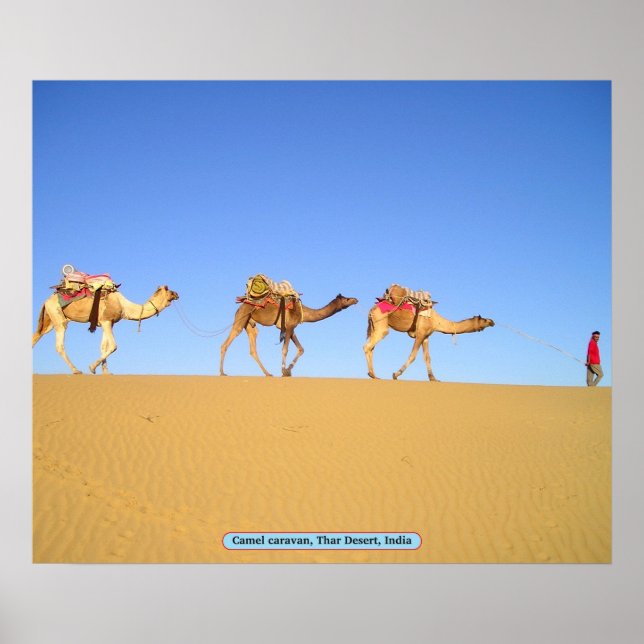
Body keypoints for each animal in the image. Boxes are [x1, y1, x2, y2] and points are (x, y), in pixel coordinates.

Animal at [32, 285, 179, 374]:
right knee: (59, 345)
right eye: (170, 290)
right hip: (57, 316)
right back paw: (76, 370)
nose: (178, 294)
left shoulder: (107, 323)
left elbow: (103, 347)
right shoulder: (106, 320)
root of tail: (46, 300)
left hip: (49, 320)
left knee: (36, 336)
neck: (124, 306)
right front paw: (92, 368)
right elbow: (114, 346)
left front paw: (106, 373)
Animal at [220, 293, 358, 377]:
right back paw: (222, 373)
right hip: (242, 317)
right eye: (346, 299)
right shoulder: (290, 326)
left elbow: (301, 349)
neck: (303, 312)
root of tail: (239, 307)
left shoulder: (290, 328)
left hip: (250, 324)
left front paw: (288, 370)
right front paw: (283, 371)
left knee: (253, 347)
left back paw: (268, 373)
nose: (356, 299)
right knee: (227, 342)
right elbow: (285, 349)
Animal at [364, 295, 494, 381]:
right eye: (484, 320)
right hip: (381, 325)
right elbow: (413, 355)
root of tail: (371, 309)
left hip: (374, 326)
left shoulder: (426, 336)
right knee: (368, 346)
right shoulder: (420, 333)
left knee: (371, 348)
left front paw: (433, 378)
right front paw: (396, 374)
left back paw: (373, 374)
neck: (436, 321)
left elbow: (427, 358)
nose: (492, 322)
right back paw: (373, 375)